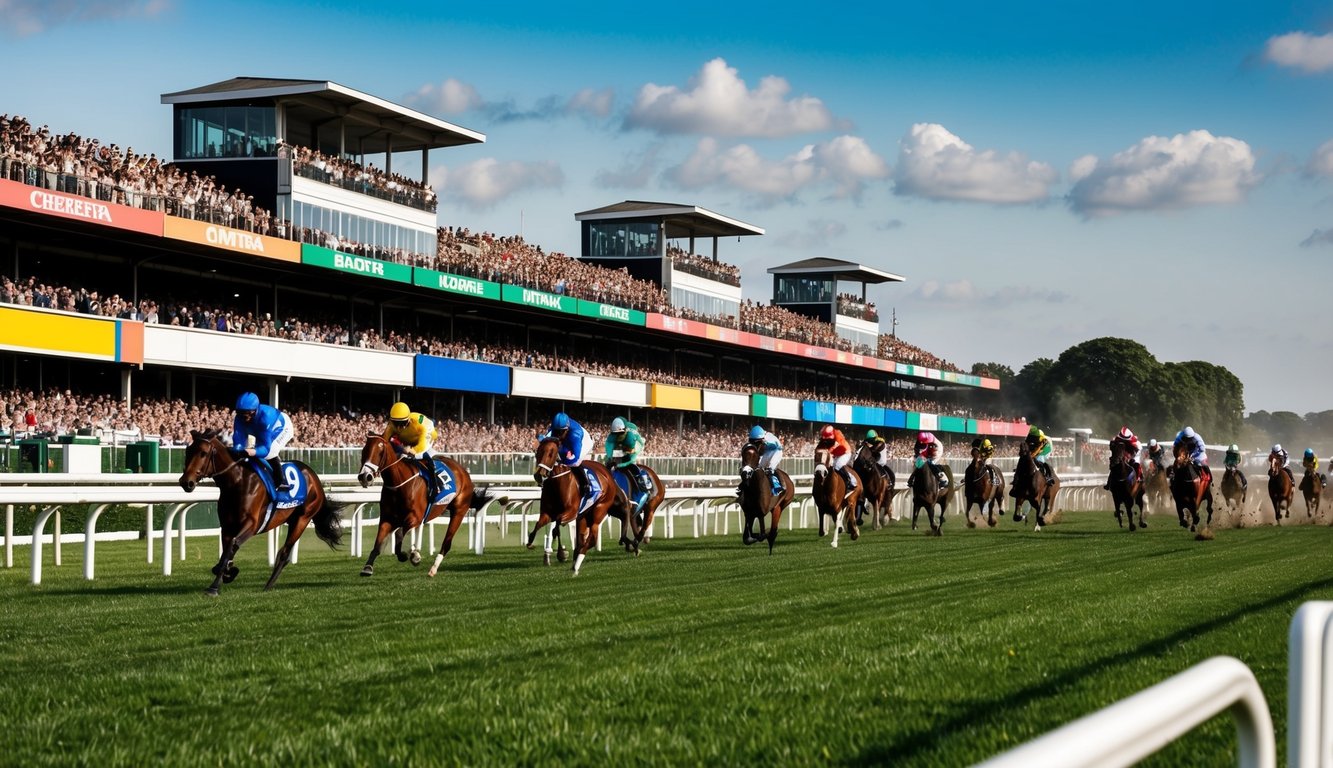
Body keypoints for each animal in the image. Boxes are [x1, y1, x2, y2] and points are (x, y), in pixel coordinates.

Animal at [177, 429, 343, 597]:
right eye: (188, 451)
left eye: (203, 453)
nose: (186, 482)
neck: (237, 482)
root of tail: (314, 477)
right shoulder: (227, 526)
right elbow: (227, 550)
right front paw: (228, 571)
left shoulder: (252, 524)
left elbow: (233, 545)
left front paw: (214, 586)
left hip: (302, 520)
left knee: (284, 553)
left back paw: (268, 586)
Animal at [354, 434, 501, 578]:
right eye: (364, 451)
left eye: (380, 452)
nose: (365, 476)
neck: (399, 483)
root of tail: (463, 471)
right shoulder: (387, 519)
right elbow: (378, 544)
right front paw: (367, 567)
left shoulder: (414, 518)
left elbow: (399, 534)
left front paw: (406, 556)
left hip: (459, 511)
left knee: (447, 543)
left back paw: (433, 569)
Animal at [525, 437, 634, 576]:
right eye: (537, 452)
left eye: (551, 453)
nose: (539, 475)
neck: (557, 483)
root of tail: (607, 473)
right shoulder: (547, 514)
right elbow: (538, 525)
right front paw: (530, 543)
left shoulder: (571, 513)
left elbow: (556, 527)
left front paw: (561, 552)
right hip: (583, 516)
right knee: (583, 539)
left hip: (599, 510)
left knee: (592, 538)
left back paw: (576, 565)